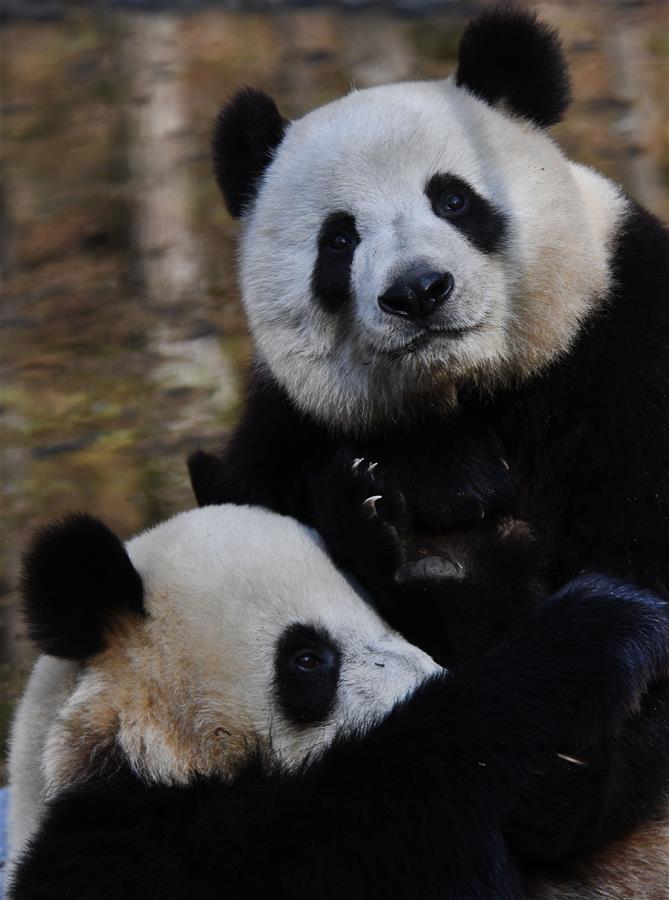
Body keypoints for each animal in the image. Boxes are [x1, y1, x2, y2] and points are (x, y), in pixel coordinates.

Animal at [187, 3, 669, 892]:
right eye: (338, 239)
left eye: (452, 198)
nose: (416, 292)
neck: (463, 392)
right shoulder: (286, 429)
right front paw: (392, 519)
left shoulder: (624, 349)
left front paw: (561, 784)